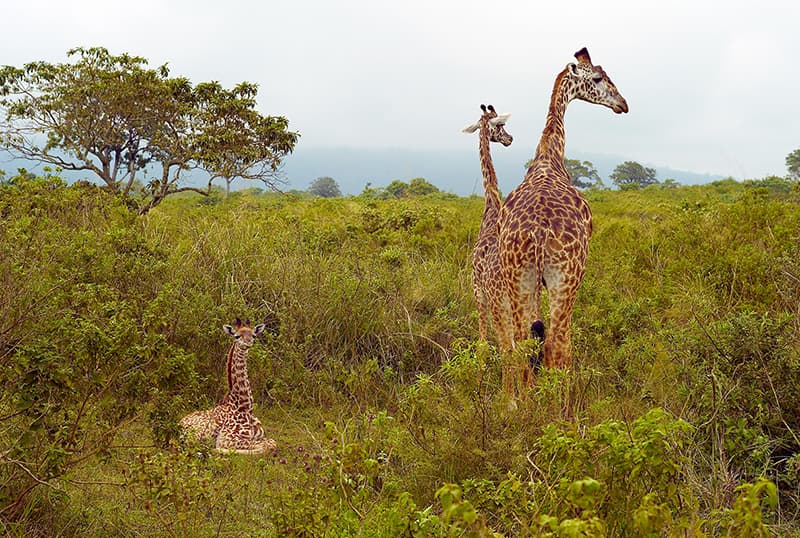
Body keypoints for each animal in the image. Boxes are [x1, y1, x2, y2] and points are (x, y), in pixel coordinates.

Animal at [181, 318, 278, 452]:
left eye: (253, 335)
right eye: (237, 336)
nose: (248, 343)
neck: (245, 407)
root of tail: (178, 424)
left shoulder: (259, 434)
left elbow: (271, 442)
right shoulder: (227, 438)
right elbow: (267, 445)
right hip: (196, 435)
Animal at [496, 48, 628, 378]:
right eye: (598, 77)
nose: (623, 104)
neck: (549, 155)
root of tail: (539, 235)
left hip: (518, 277)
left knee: (523, 345)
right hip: (566, 278)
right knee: (559, 345)